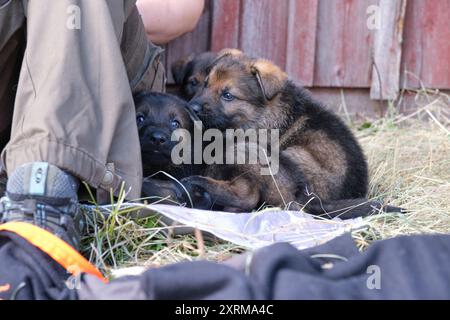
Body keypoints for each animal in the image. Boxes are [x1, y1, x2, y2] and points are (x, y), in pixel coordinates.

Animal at [184, 48, 404, 218]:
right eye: (205, 84)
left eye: (228, 95)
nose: (191, 107)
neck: (263, 112)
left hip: (261, 153)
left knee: (251, 195)